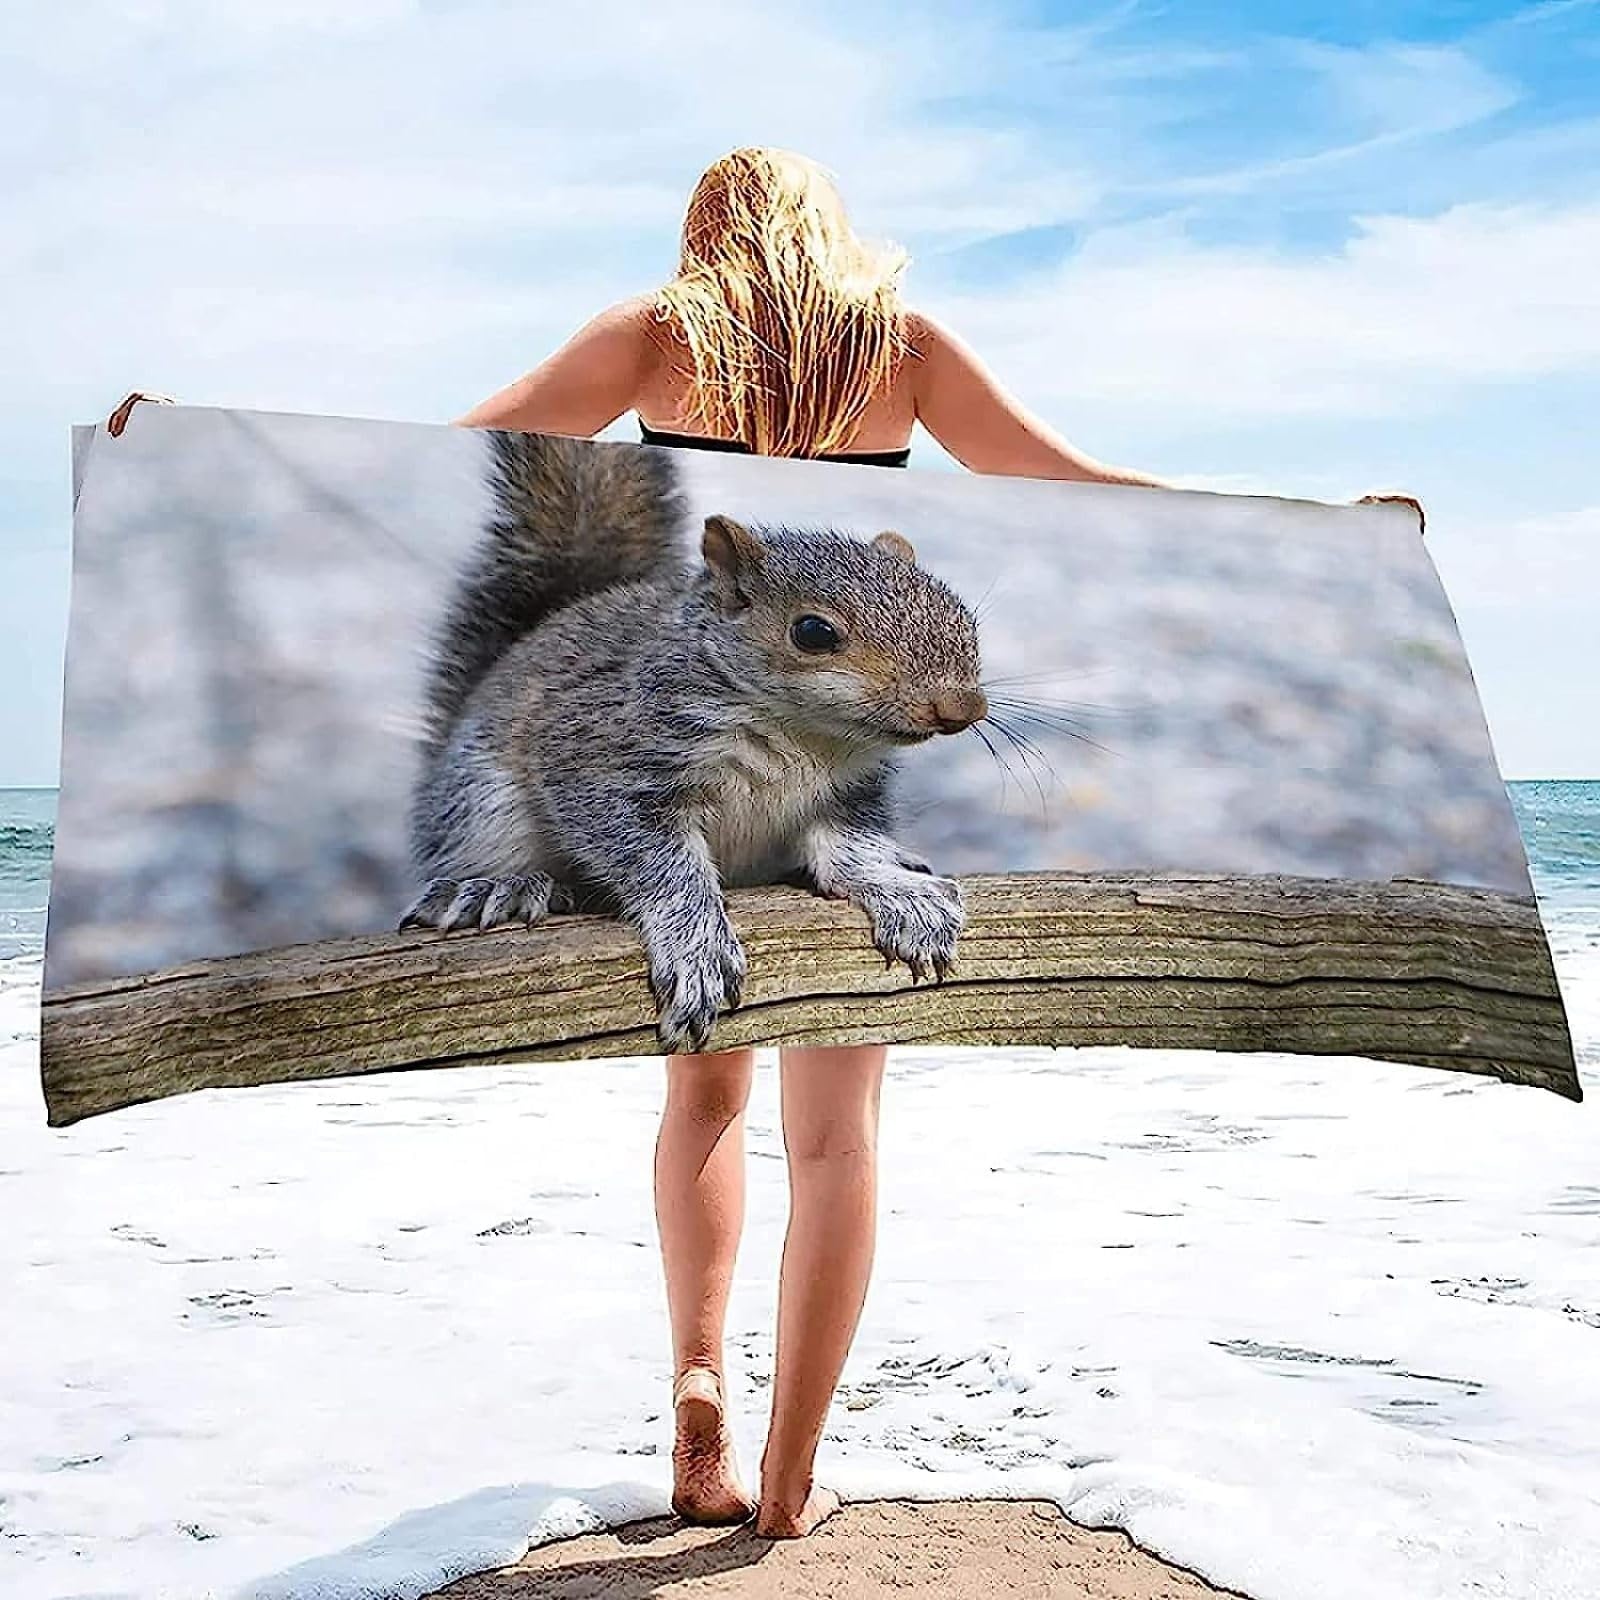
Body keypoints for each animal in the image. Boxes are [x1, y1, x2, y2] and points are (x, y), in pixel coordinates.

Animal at [399, 429, 988, 1053]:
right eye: (812, 632)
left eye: (959, 614)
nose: (962, 708)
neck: (806, 735)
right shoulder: (603, 760)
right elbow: (656, 861)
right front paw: (695, 944)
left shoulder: (849, 793)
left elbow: (851, 847)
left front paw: (901, 894)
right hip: (482, 805)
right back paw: (498, 888)